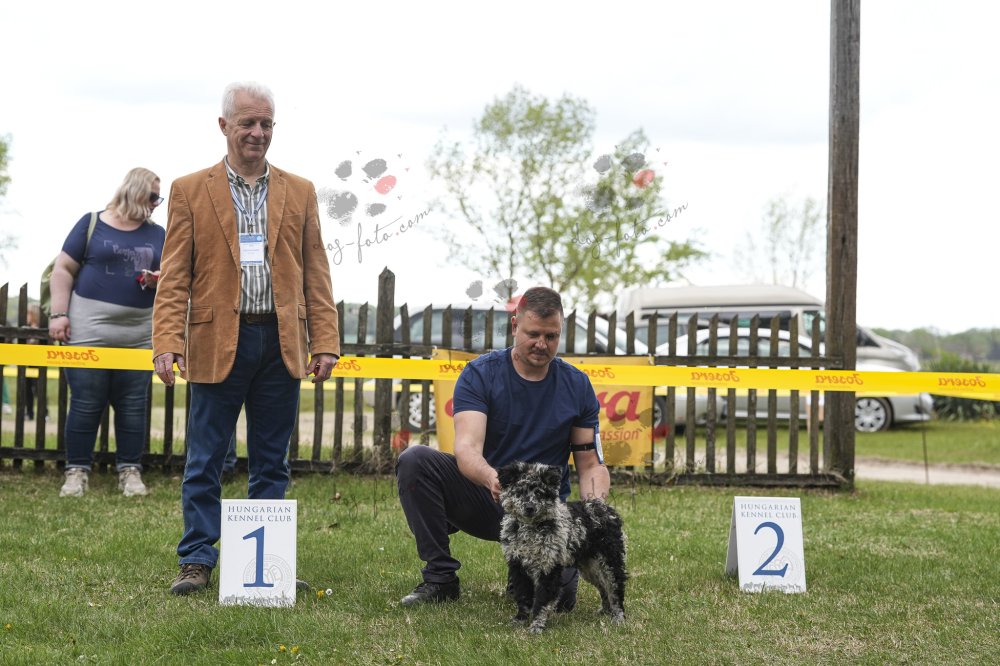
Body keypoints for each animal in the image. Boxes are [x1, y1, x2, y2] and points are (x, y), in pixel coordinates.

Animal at [497, 461, 627, 633]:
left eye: (540, 492)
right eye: (519, 491)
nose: (529, 507)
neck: (531, 529)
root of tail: (605, 509)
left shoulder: (548, 567)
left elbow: (542, 600)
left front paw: (537, 625)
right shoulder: (518, 565)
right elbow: (523, 596)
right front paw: (520, 619)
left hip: (610, 560)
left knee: (615, 587)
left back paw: (618, 616)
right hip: (590, 566)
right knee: (603, 586)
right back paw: (606, 610)